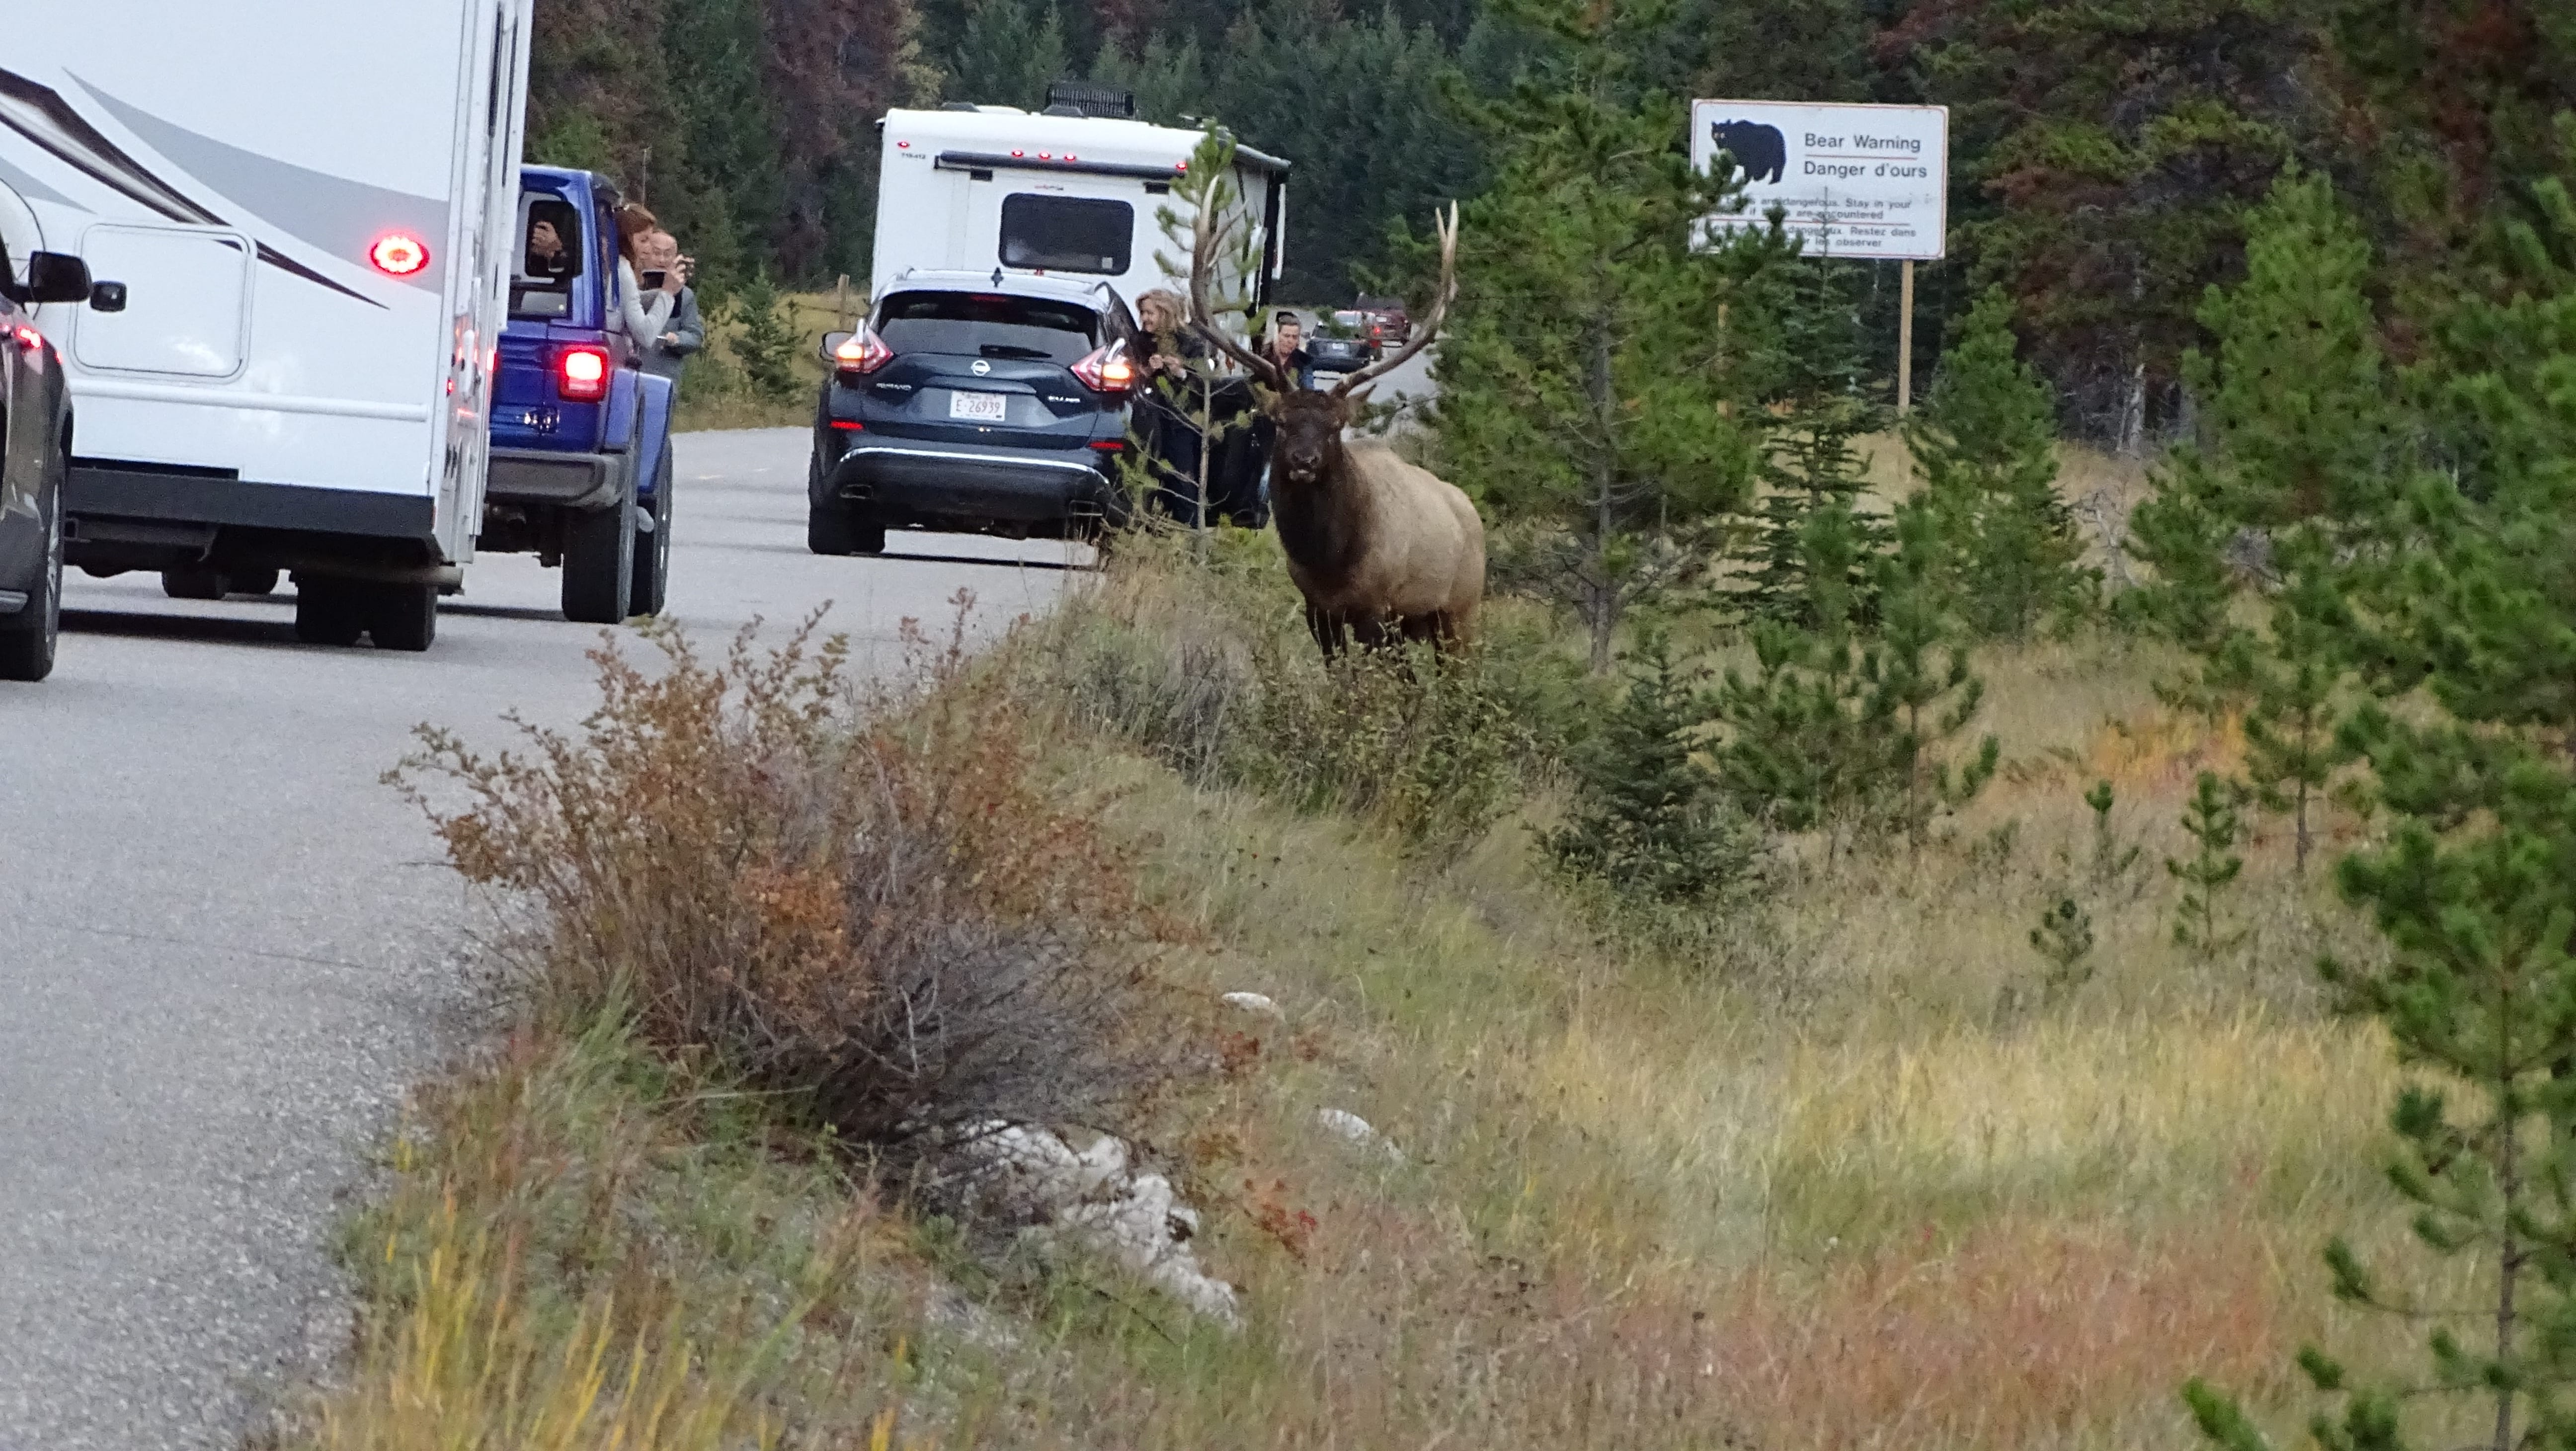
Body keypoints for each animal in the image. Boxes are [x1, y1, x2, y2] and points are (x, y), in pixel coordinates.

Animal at [1190, 201, 1494, 659]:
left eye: (1335, 427)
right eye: (1282, 423)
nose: (1305, 460)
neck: (1331, 562)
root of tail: (1472, 516)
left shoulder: (1377, 608)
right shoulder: (1318, 609)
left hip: (1460, 613)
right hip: (1418, 623)